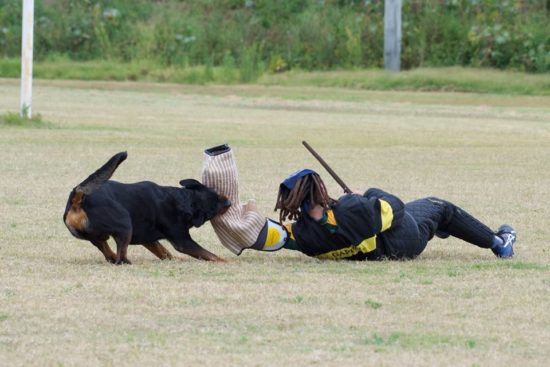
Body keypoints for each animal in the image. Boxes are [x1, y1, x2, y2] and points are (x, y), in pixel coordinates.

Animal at [62, 152, 231, 264]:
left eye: (217, 193)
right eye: (216, 203)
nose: (229, 202)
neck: (183, 200)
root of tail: (78, 198)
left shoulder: (149, 239)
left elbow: (164, 252)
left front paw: (174, 260)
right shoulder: (183, 240)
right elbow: (210, 255)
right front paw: (229, 262)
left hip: (98, 237)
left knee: (109, 254)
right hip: (124, 224)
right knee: (120, 258)